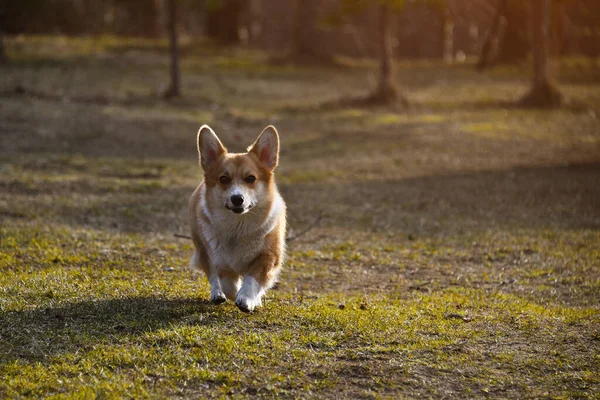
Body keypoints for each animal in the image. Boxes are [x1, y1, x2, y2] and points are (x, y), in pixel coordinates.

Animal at [190, 125, 288, 312]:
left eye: (251, 178)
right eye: (223, 179)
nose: (237, 199)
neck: (239, 226)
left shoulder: (268, 257)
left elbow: (252, 279)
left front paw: (248, 299)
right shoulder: (220, 260)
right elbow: (228, 284)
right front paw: (237, 295)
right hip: (203, 249)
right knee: (213, 275)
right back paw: (217, 294)